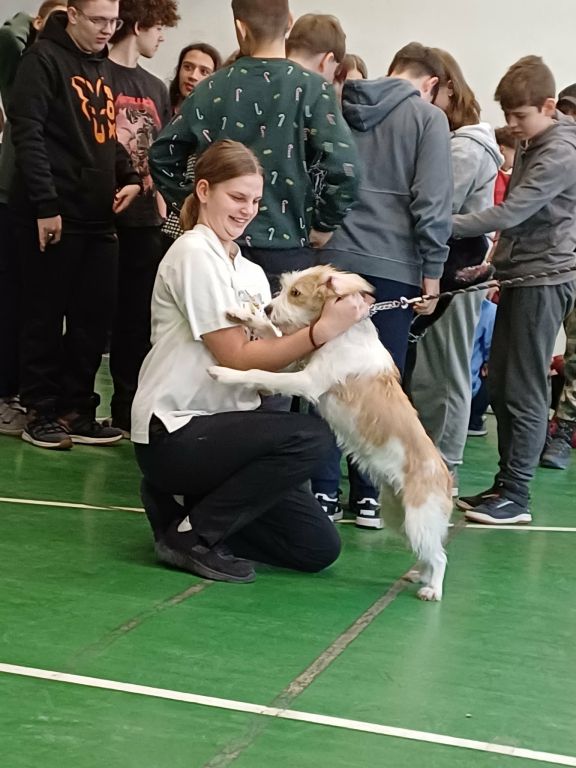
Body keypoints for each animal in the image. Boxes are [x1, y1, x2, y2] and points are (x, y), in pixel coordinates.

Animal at [209, 266, 453, 600]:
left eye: (296, 293)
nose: (269, 308)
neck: (343, 332)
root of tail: (444, 476)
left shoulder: (306, 380)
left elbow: (259, 372)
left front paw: (225, 373)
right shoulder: (293, 363)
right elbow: (272, 337)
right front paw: (245, 314)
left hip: (419, 518)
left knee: (440, 556)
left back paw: (433, 590)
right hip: (400, 516)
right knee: (428, 553)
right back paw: (422, 576)